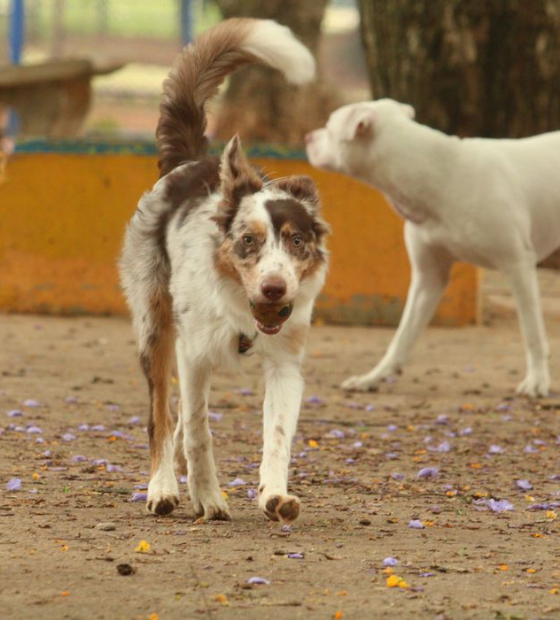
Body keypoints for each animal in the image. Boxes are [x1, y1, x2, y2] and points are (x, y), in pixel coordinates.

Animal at [118, 20, 328, 524]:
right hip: (155, 328)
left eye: (296, 241)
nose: (274, 289)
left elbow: (277, 437)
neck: (241, 311)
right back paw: (164, 487)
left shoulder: (285, 365)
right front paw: (208, 498)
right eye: (248, 240)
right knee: (161, 417)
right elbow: (195, 429)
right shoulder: (192, 355)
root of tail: (191, 161)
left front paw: (274, 496)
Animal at [306, 98, 560, 398]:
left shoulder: (518, 266)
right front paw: (373, 377)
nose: (307, 137)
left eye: (330, 126)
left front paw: (537, 380)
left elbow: (532, 332)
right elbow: (402, 336)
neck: (442, 177)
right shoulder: (428, 278)